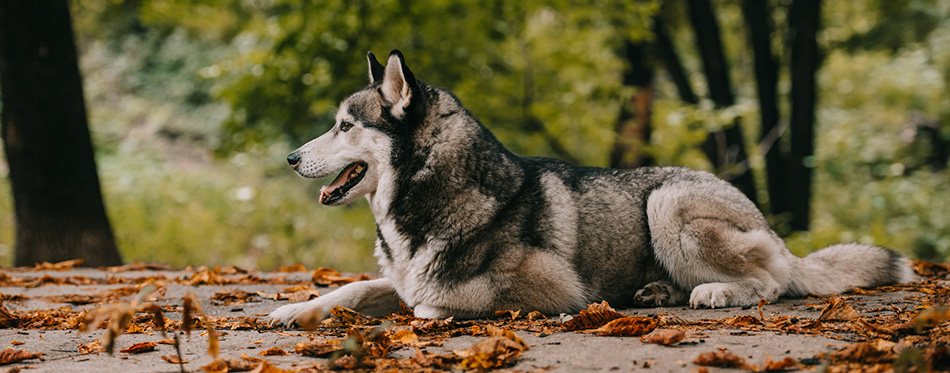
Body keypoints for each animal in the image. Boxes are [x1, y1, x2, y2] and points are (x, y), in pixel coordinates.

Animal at [266, 50, 916, 326]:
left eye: (344, 126)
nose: (291, 157)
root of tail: (767, 225)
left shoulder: (554, 292)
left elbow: (431, 302)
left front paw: (430, 310)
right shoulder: (399, 275)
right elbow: (354, 289)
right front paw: (295, 308)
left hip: (667, 201)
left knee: (772, 282)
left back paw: (715, 293)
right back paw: (659, 293)